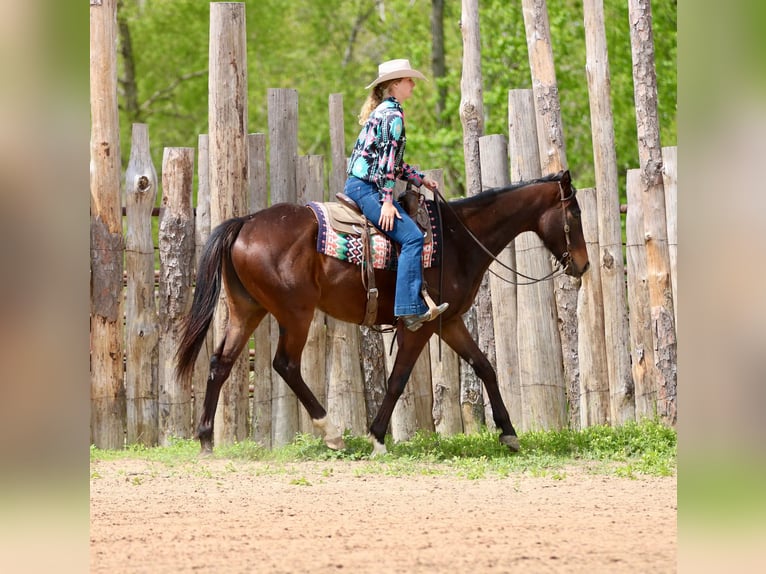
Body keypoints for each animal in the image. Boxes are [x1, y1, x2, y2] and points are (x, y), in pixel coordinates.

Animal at [176, 169, 589, 455]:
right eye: (574, 215)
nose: (582, 265)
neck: (457, 239)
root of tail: (245, 222)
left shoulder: (448, 322)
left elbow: (484, 366)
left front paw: (509, 433)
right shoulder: (419, 327)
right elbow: (397, 379)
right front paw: (376, 437)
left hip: (247, 310)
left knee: (220, 362)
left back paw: (206, 439)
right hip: (296, 314)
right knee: (285, 365)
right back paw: (333, 433)